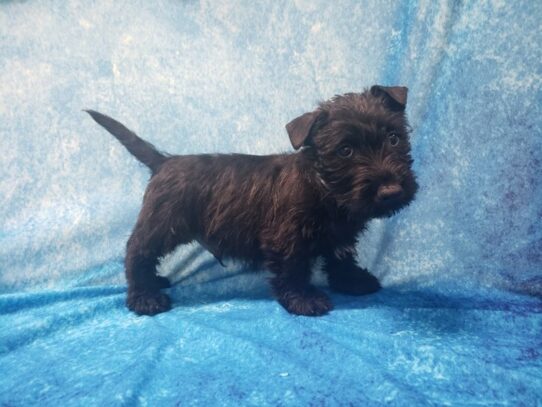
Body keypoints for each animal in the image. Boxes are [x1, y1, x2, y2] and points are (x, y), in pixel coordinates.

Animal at [85, 84, 418, 318]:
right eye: (345, 150)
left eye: (394, 138)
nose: (391, 191)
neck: (325, 187)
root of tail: (164, 162)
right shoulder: (286, 240)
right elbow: (292, 270)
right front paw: (304, 300)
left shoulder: (341, 237)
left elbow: (341, 259)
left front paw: (352, 282)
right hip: (162, 224)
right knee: (137, 252)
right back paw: (145, 297)